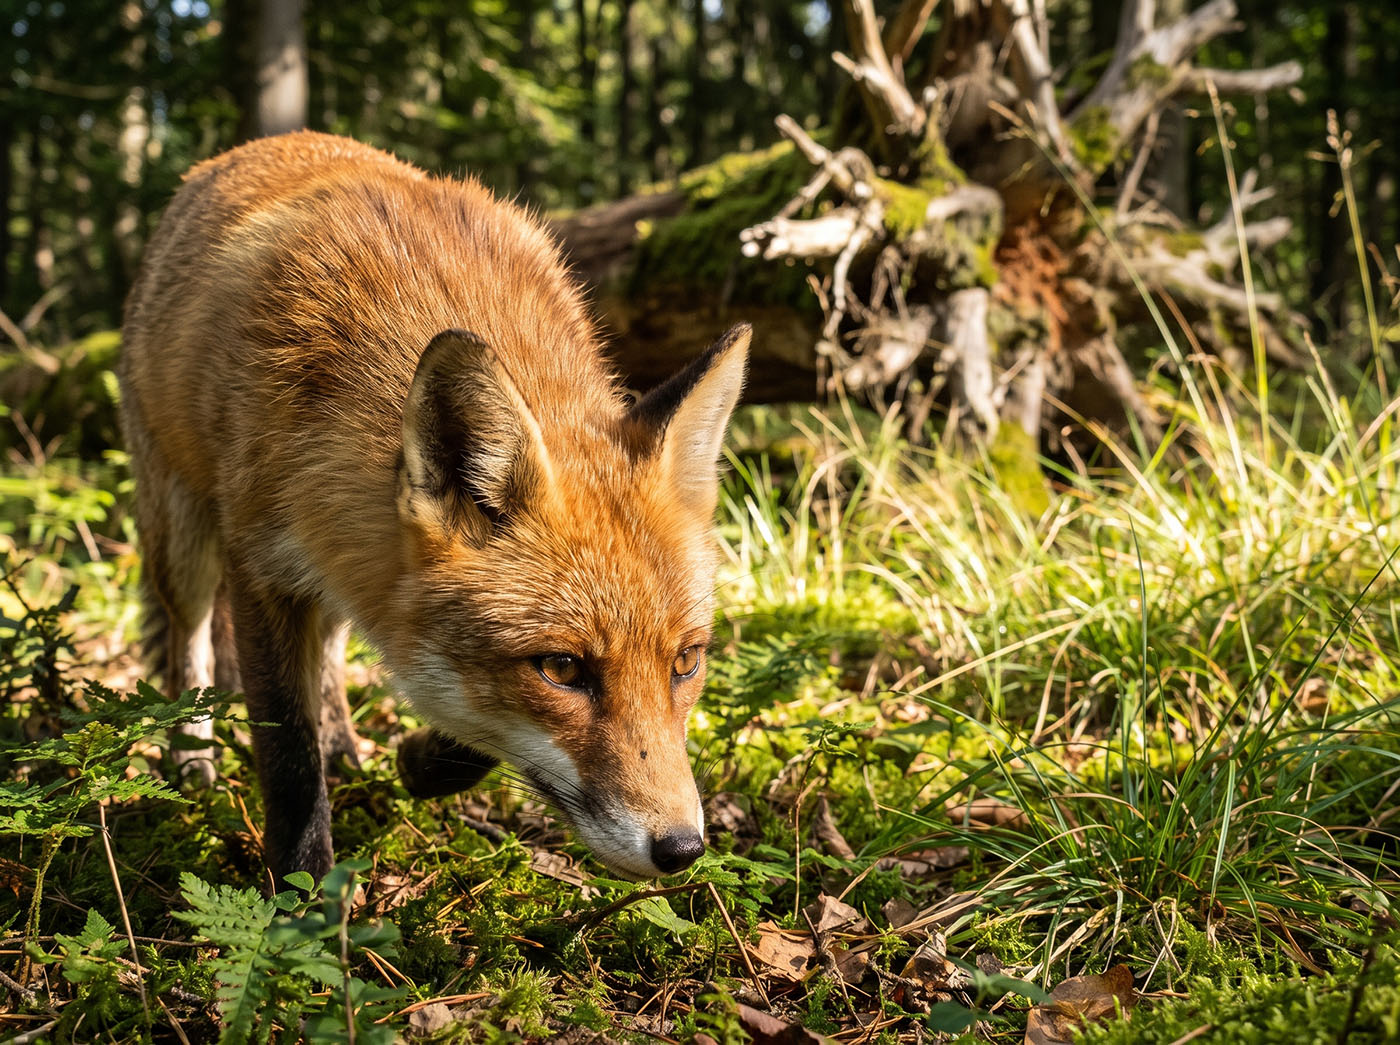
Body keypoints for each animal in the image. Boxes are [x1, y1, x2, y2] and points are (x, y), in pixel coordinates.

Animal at [119, 131, 749, 883]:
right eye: (563, 669)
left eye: (686, 661)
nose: (682, 848)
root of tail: (253, 147)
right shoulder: (263, 567)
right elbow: (288, 751)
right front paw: (302, 887)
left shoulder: (363, 563)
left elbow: (458, 724)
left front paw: (415, 762)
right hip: (184, 538)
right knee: (188, 645)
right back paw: (192, 758)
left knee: (329, 657)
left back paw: (346, 752)